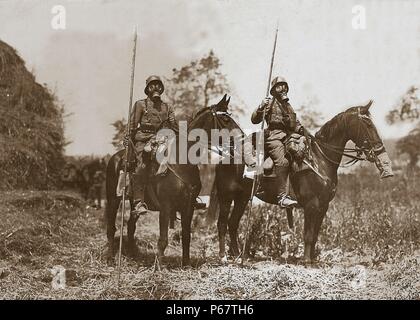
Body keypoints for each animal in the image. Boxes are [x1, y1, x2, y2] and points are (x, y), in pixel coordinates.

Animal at [104, 95, 233, 268]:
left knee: (131, 225)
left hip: (132, 202)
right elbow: (163, 239)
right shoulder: (166, 207)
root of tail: (116, 157)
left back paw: (133, 254)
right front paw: (158, 266)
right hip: (113, 199)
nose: (242, 137)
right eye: (225, 118)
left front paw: (186, 264)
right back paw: (110, 257)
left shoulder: (188, 206)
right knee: (111, 228)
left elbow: (186, 236)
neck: (182, 162)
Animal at [210, 101, 394, 264]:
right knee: (222, 224)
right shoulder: (311, 205)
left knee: (233, 224)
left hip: (241, 198)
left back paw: (239, 256)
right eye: (368, 124)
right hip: (226, 197)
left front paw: (312, 259)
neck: (320, 160)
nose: (380, 150)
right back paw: (225, 257)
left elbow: (315, 235)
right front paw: (306, 261)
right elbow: (308, 235)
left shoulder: (323, 206)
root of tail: (225, 157)